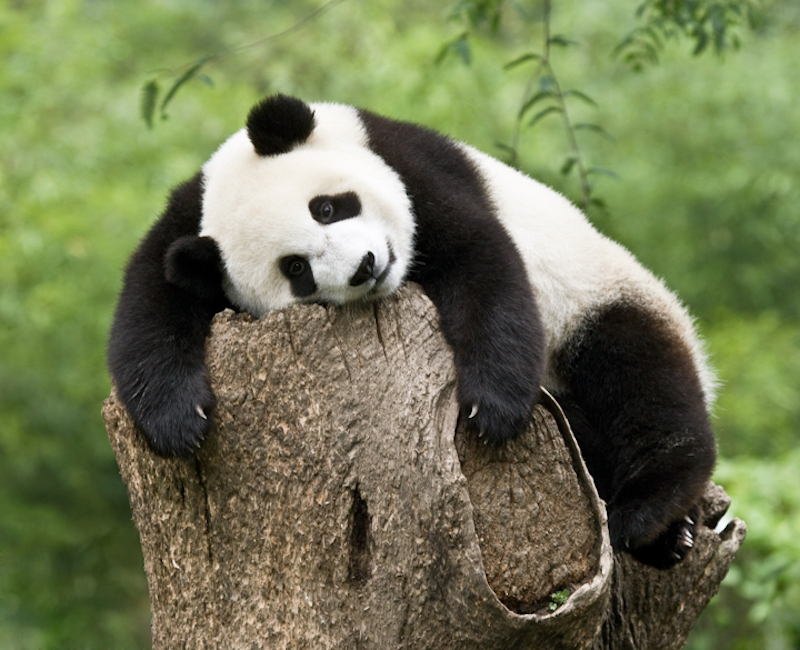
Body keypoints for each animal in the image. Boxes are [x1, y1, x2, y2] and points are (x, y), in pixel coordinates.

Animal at [108, 92, 720, 568]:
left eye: (327, 207)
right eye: (296, 269)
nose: (365, 266)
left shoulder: (414, 170)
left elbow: (484, 264)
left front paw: (492, 409)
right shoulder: (185, 223)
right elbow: (148, 305)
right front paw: (178, 421)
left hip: (598, 292)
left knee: (640, 374)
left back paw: (650, 515)